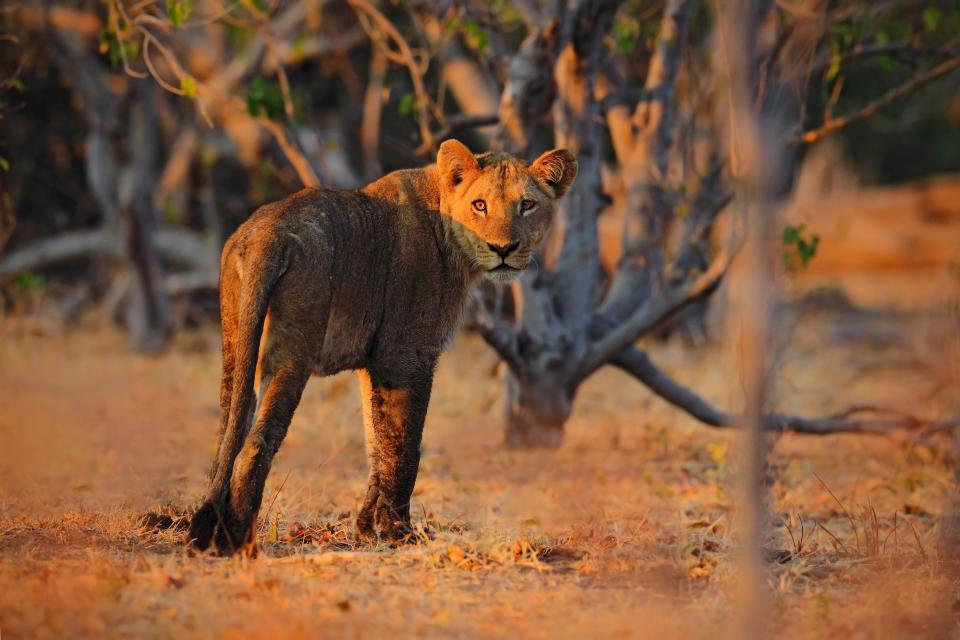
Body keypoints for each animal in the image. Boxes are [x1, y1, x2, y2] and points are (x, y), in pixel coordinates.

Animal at [188, 139, 576, 556]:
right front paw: (398, 532)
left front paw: (365, 530)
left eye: (527, 205)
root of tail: (267, 235)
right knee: (257, 440)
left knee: (229, 426)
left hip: (235, 340)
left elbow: (377, 443)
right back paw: (239, 540)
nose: (503, 248)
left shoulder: (371, 362)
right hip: (294, 350)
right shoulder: (407, 355)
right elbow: (405, 446)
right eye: (480, 205)